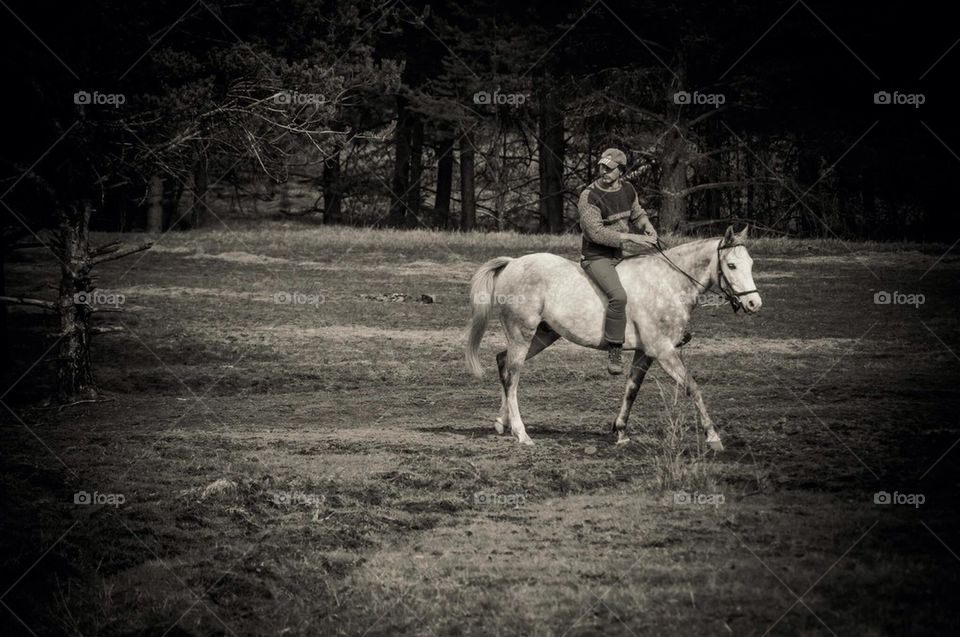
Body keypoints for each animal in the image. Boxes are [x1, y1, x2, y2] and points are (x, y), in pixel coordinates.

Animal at [464, 224, 762, 450]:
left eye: (750, 264)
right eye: (731, 265)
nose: (754, 304)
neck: (668, 282)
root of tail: (513, 263)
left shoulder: (646, 353)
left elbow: (632, 390)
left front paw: (620, 432)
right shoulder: (664, 351)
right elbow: (693, 388)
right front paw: (713, 437)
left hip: (542, 336)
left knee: (503, 363)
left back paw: (502, 423)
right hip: (522, 333)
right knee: (513, 376)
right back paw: (521, 433)